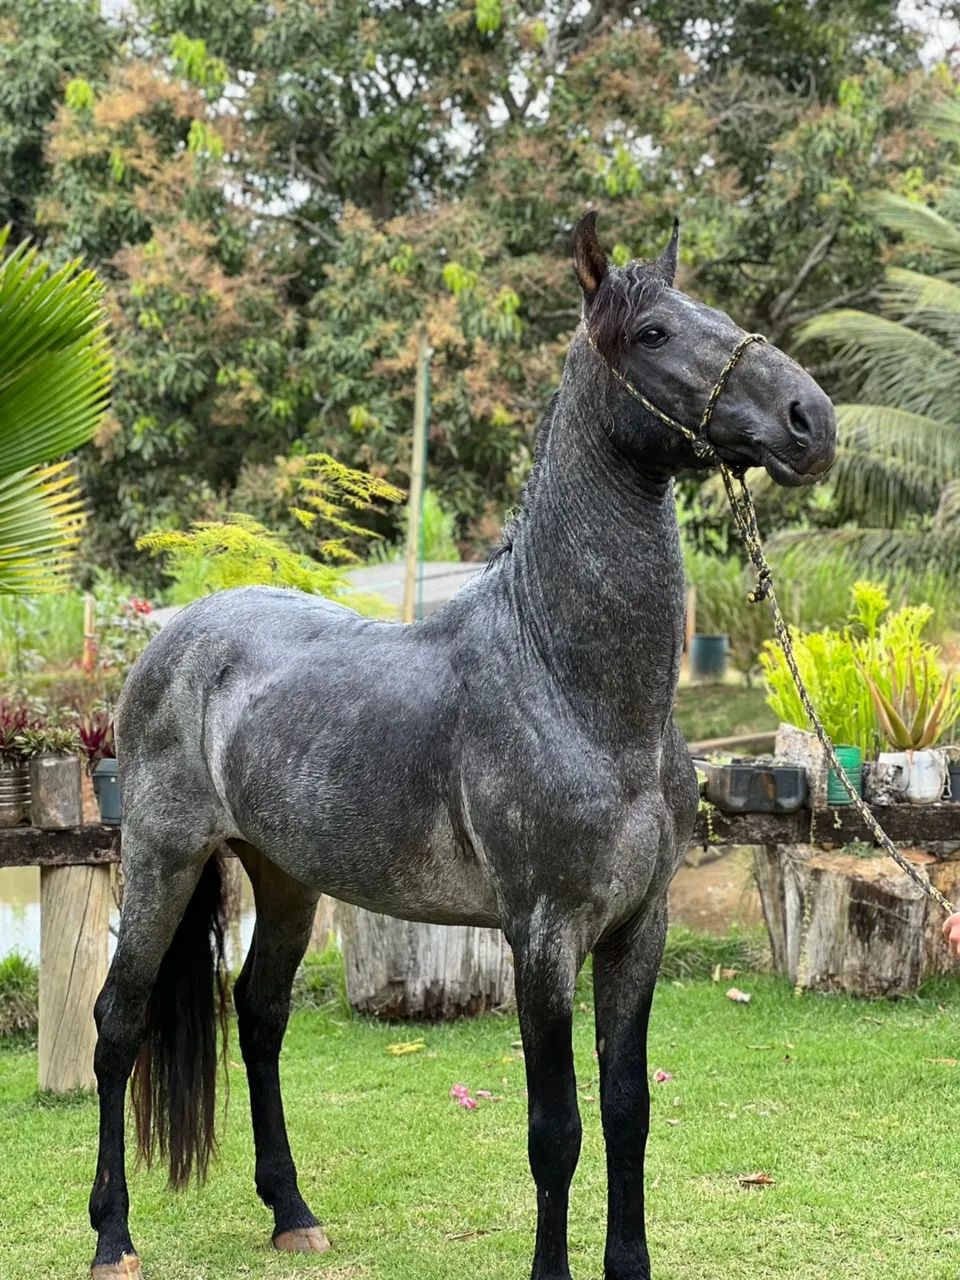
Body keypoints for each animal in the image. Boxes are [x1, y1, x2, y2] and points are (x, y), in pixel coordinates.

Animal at [88, 212, 836, 1280]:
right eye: (654, 332)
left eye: (718, 312)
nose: (811, 419)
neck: (572, 687)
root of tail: (175, 636)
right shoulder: (542, 937)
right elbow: (556, 1130)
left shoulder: (637, 931)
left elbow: (628, 1112)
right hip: (161, 859)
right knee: (118, 1027)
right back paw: (113, 1236)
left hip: (285, 877)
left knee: (261, 1017)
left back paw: (292, 1212)